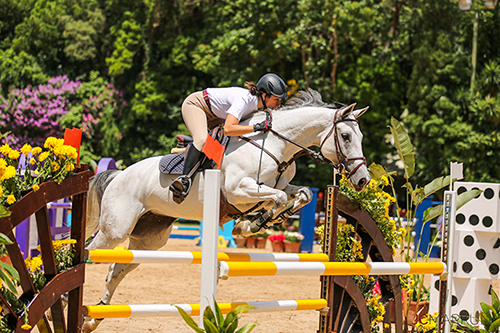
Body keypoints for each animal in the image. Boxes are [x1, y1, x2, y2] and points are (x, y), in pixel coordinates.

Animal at [83, 87, 372, 330]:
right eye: (345, 136)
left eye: (360, 136)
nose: (363, 180)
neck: (277, 145)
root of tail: (118, 175)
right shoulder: (237, 189)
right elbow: (276, 198)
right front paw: (252, 224)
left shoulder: (278, 185)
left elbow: (300, 195)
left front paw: (263, 220)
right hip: (114, 231)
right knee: (90, 252)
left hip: (148, 240)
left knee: (115, 270)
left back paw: (94, 317)